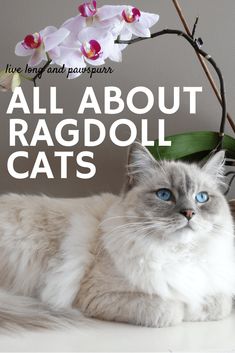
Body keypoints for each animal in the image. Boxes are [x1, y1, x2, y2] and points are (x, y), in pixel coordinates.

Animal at [0, 142, 235, 328]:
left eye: (201, 197)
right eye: (164, 195)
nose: (189, 213)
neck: (177, 254)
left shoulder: (216, 294)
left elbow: (216, 304)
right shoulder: (98, 295)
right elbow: (173, 310)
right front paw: (185, 310)